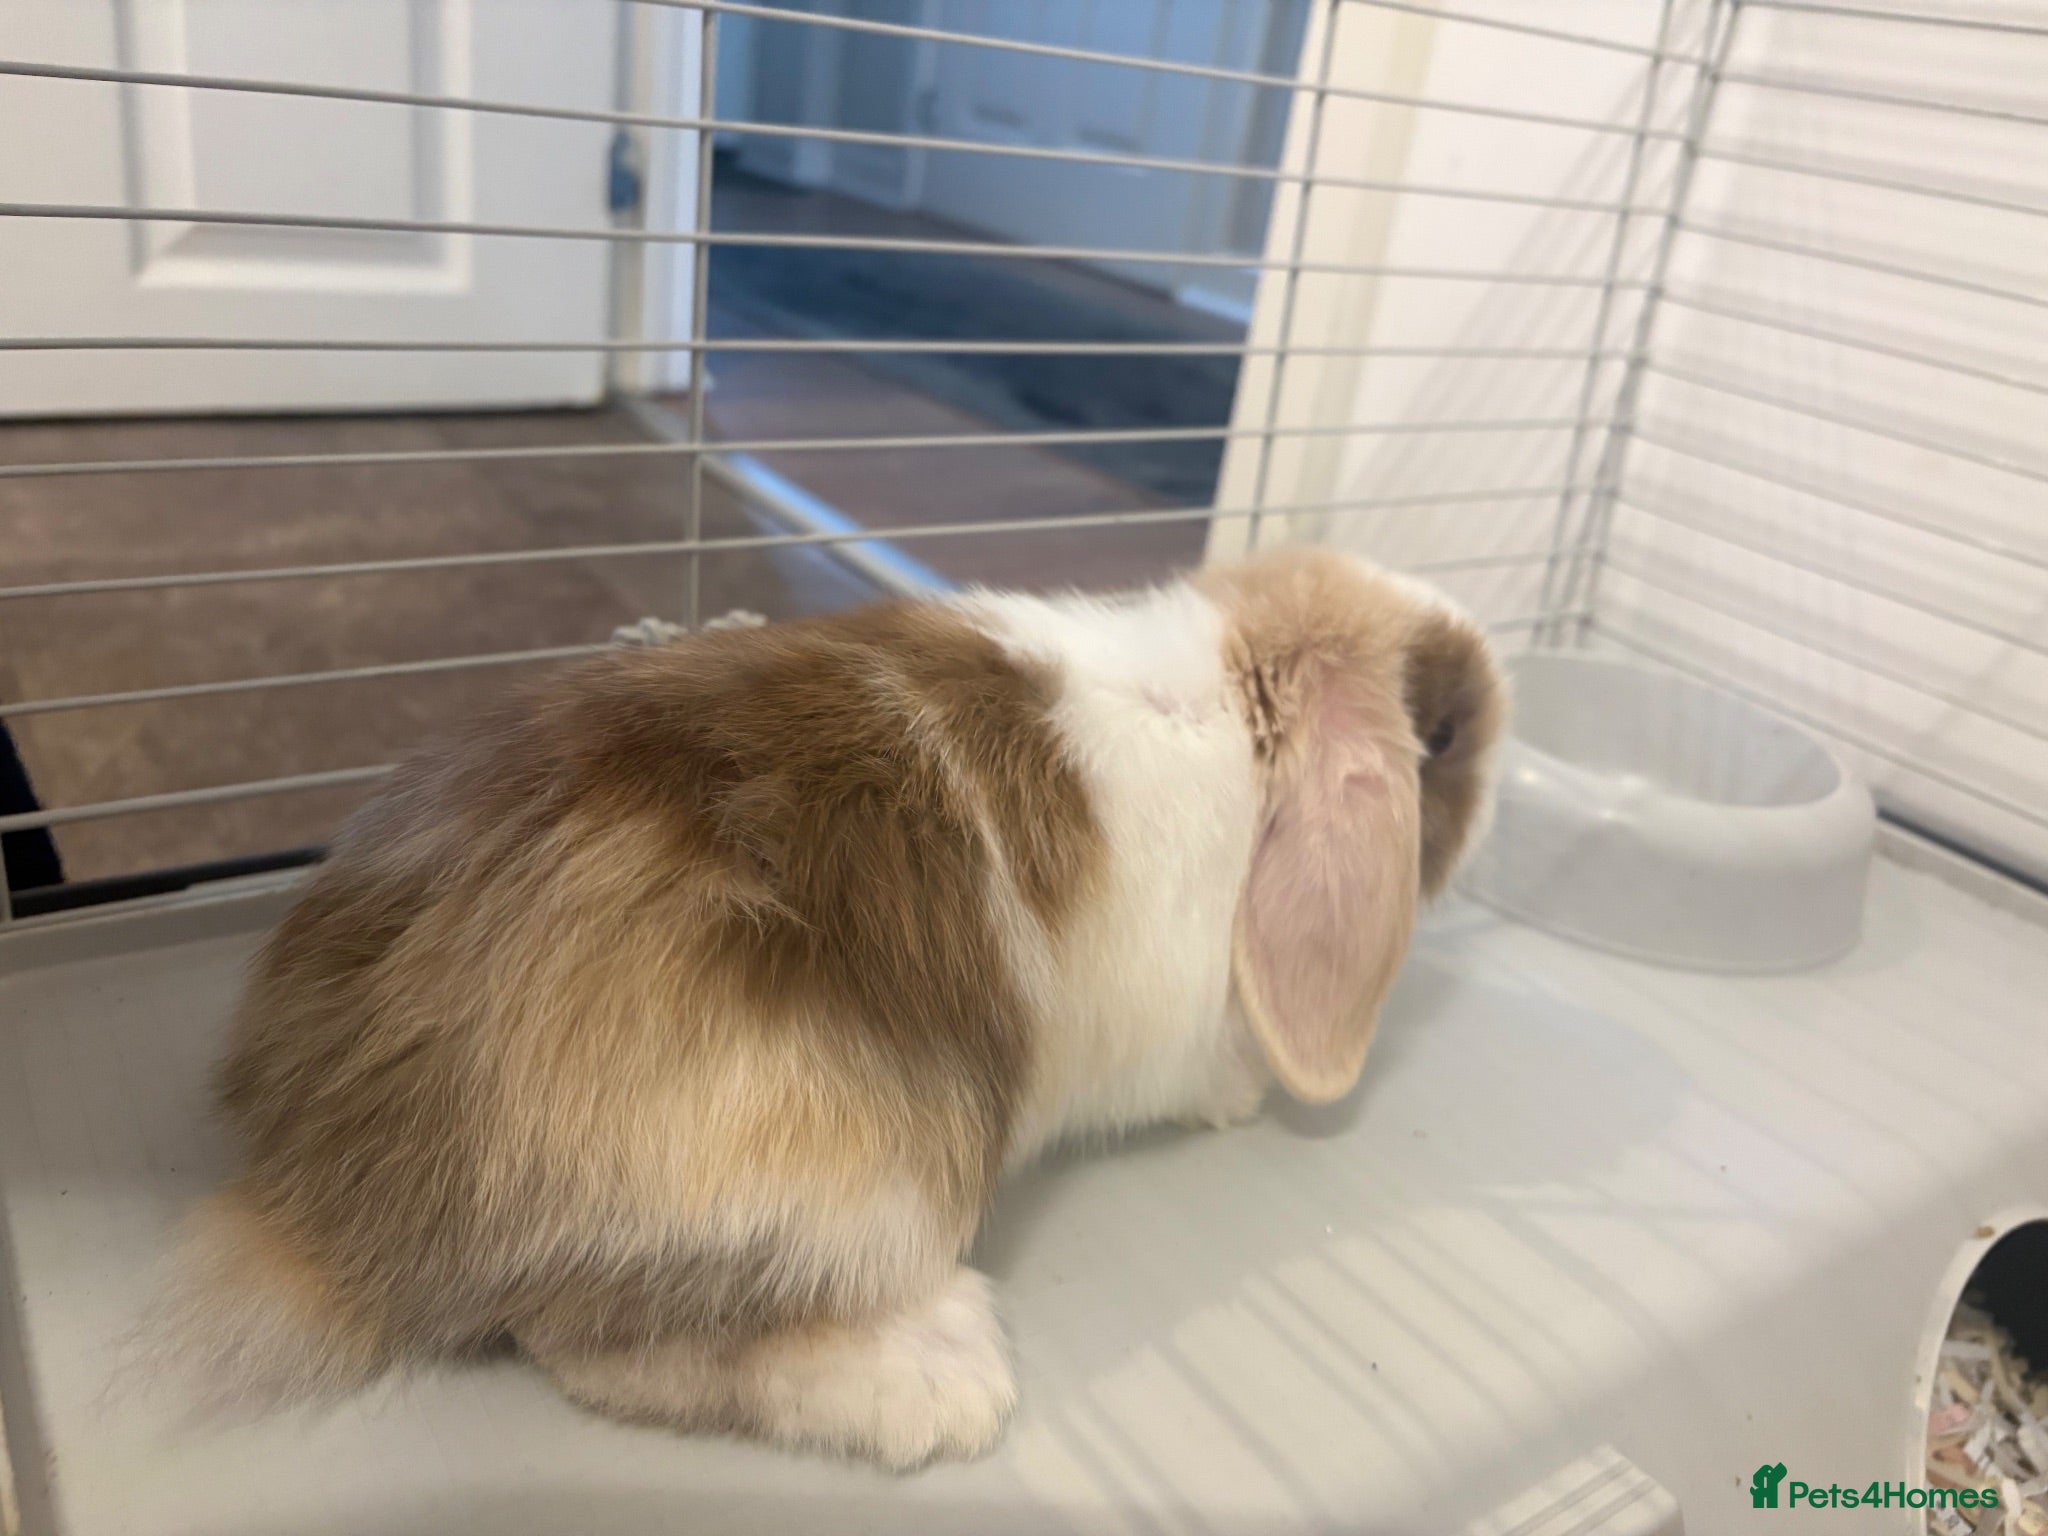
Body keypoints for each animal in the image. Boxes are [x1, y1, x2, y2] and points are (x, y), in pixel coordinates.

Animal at [157, 546, 1505, 1469]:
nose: (1500, 681)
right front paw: (1237, 1102)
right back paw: (938, 1378)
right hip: (850, 1165)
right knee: (609, 1349)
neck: (1227, 706)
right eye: (1439, 735)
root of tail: (327, 1203)